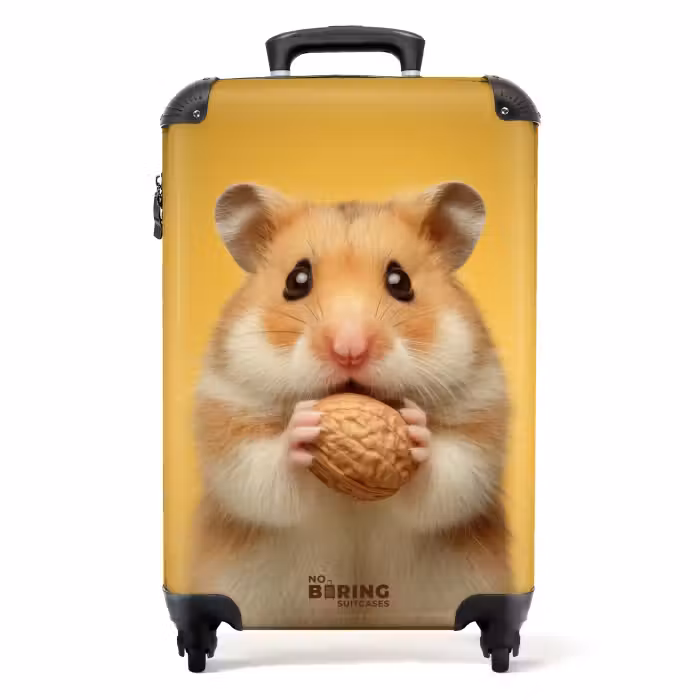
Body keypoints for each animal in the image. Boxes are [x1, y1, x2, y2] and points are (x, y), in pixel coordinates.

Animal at [191, 181, 510, 628]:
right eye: (296, 280)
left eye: (400, 281)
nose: (349, 350)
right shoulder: (229, 415)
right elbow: (261, 476)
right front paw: (302, 429)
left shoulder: (480, 414)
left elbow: (451, 478)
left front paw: (416, 431)